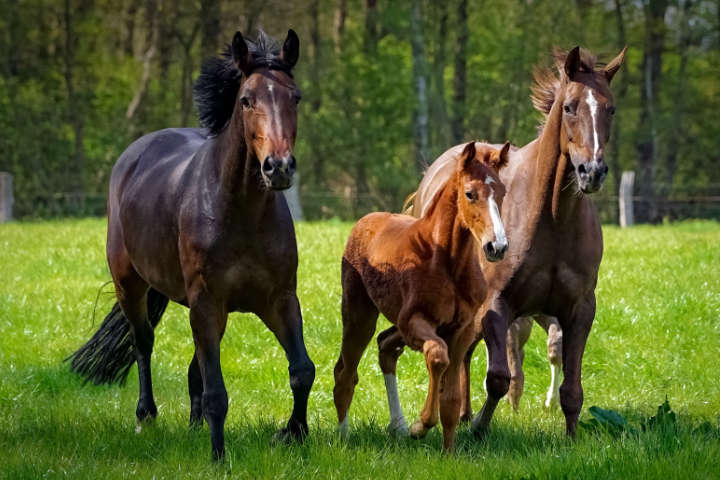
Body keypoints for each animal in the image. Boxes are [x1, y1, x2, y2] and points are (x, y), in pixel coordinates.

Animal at [67, 30, 315, 461]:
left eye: (294, 97)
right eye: (246, 99)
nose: (279, 167)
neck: (241, 212)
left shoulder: (280, 299)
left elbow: (301, 370)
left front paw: (293, 434)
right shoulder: (206, 301)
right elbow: (217, 391)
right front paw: (218, 457)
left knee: (193, 364)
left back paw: (194, 424)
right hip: (131, 285)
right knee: (143, 342)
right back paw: (146, 415)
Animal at [333, 141, 510, 450]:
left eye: (501, 192)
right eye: (470, 193)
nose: (496, 246)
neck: (447, 261)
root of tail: (366, 219)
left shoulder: (462, 330)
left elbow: (451, 397)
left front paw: (449, 451)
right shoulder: (414, 322)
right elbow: (437, 356)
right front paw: (421, 425)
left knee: (384, 349)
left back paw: (397, 426)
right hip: (359, 315)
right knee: (346, 372)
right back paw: (345, 437)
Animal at [391, 46, 627, 438]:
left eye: (610, 109)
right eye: (569, 107)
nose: (591, 172)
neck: (552, 219)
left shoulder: (579, 309)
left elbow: (572, 388)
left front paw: (571, 437)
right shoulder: (496, 306)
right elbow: (499, 378)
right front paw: (478, 429)